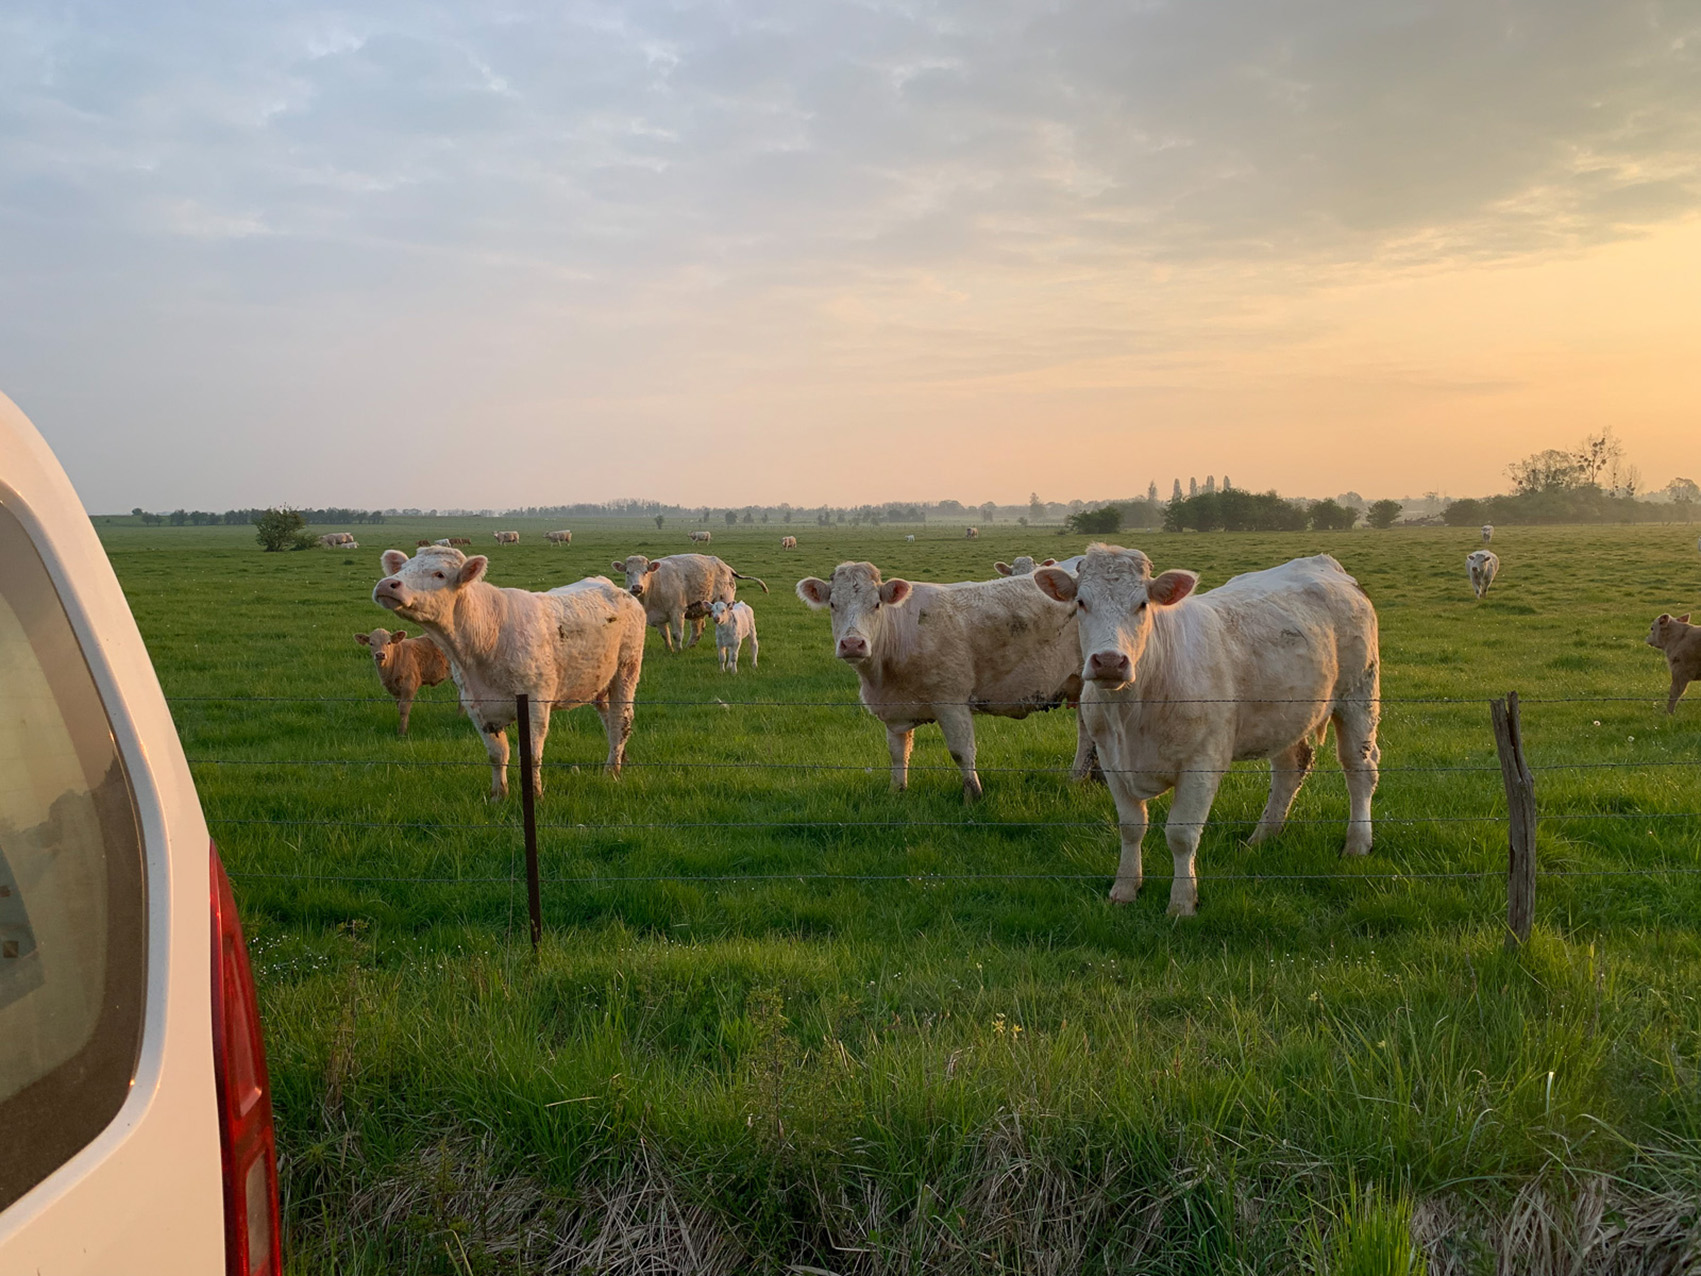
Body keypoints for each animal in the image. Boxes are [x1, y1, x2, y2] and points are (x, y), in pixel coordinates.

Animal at [375, 547, 646, 799]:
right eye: (403, 568)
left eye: (439, 574)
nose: (387, 584)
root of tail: (617, 588)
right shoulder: (477, 706)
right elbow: (497, 754)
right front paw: (498, 795)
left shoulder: (535, 704)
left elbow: (532, 756)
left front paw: (535, 794)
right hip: (598, 681)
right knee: (608, 718)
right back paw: (621, 759)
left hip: (626, 670)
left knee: (620, 720)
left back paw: (611, 771)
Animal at [792, 558, 1088, 799]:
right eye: (833, 605)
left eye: (876, 605)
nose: (852, 644)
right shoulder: (894, 709)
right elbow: (898, 752)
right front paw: (897, 790)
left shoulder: (951, 701)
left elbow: (961, 751)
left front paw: (973, 795)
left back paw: (1077, 777)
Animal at [1034, 551, 1381, 918]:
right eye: (1081, 603)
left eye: (1142, 604)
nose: (1110, 661)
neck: (1132, 709)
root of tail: (1322, 561)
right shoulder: (1111, 758)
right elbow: (1131, 826)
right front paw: (1125, 888)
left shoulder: (1202, 762)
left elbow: (1181, 834)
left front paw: (1182, 902)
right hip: (1284, 715)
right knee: (1291, 768)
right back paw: (1262, 838)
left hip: (1359, 694)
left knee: (1359, 770)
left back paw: (1358, 843)